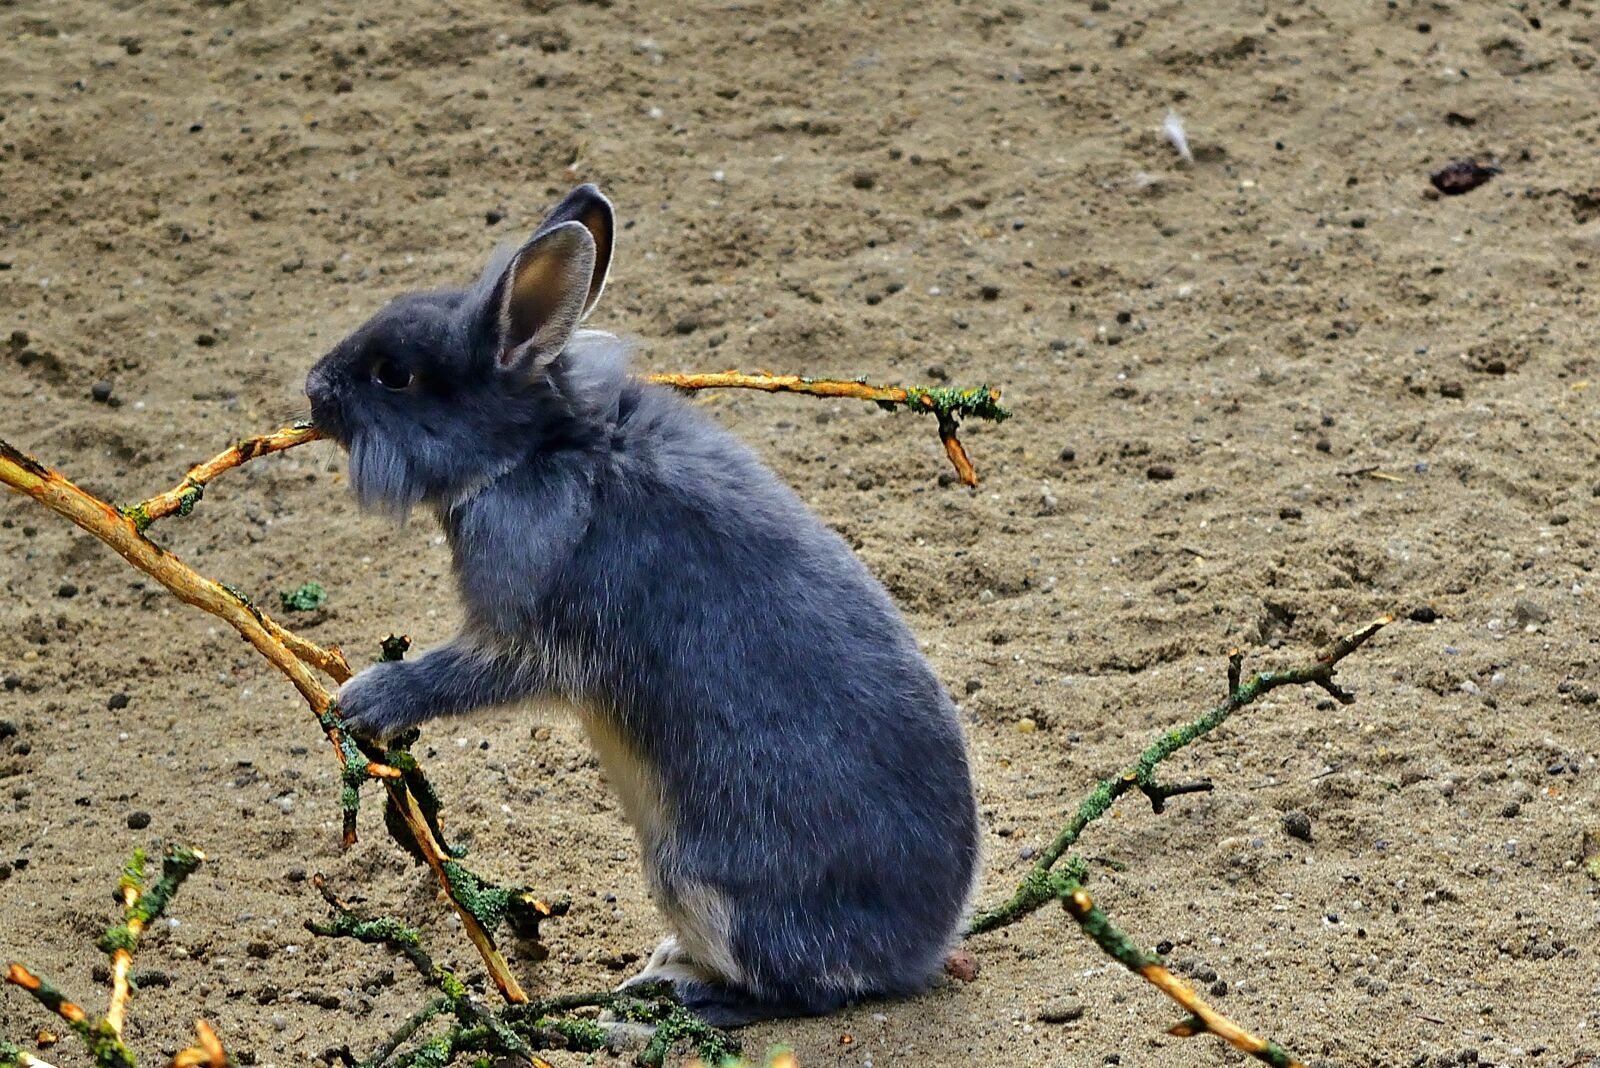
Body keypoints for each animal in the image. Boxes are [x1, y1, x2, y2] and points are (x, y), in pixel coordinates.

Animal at [304, 184, 982, 1027]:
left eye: (394, 376)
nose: (314, 390)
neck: (540, 449)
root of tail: (921, 950)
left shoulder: (525, 636)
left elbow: (456, 673)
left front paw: (361, 700)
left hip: (691, 876)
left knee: (797, 992)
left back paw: (667, 998)